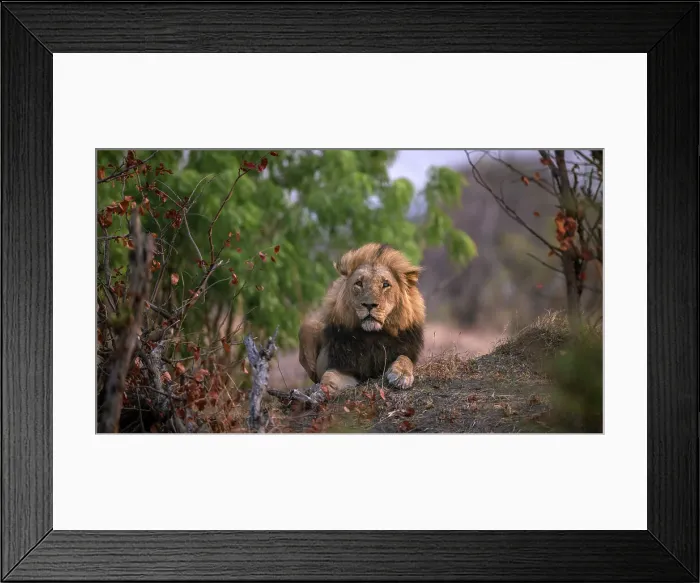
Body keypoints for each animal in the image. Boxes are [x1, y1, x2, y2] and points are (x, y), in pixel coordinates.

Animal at [298, 242, 426, 398]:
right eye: (359, 283)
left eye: (385, 284)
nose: (369, 305)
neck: (373, 336)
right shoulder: (345, 366)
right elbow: (330, 376)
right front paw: (323, 390)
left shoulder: (405, 350)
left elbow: (404, 359)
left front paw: (401, 375)